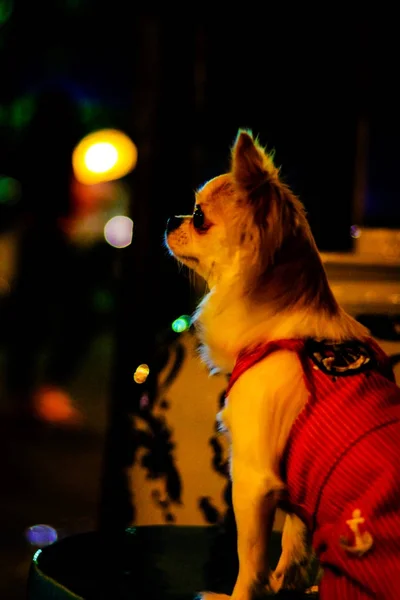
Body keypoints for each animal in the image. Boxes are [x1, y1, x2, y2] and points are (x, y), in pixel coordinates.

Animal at [164, 129, 400, 596]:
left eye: (198, 217)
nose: (169, 220)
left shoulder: (252, 481)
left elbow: (249, 558)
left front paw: (237, 596)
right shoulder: (294, 491)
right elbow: (295, 544)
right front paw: (284, 584)